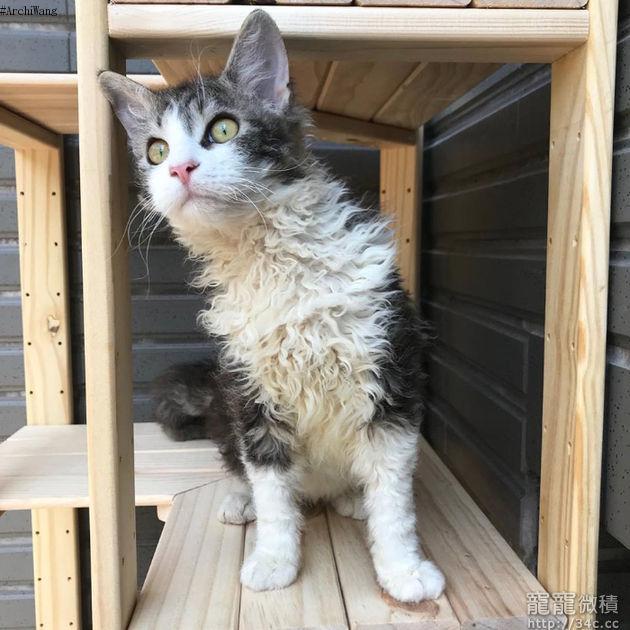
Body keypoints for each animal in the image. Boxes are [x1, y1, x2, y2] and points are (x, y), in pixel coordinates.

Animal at [99, 9, 445, 604]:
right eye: (156, 151)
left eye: (223, 129)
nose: (180, 169)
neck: (270, 256)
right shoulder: (252, 393)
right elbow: (272, 491)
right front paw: (275, 559)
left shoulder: (392, 380)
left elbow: (393, 499)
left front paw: (402, 568)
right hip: (225, 408)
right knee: (242, 470)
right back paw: (242, 504)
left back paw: (351, 499)